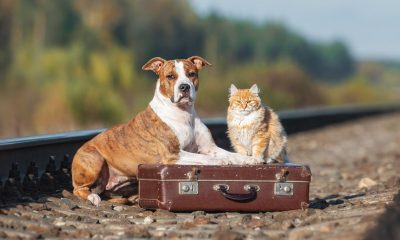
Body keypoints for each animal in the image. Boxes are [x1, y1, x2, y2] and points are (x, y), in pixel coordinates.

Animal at [71, 55, 262, 204]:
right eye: (170, 76)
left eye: (192, 74)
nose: (184, 87)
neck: (184, 114)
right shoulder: (173, 155)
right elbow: (205, 158)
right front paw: (222, 161)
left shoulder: (210, 148)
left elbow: (232, 154)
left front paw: (248, 160)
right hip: (95, 160)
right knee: (79, 189)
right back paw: (93, 198)